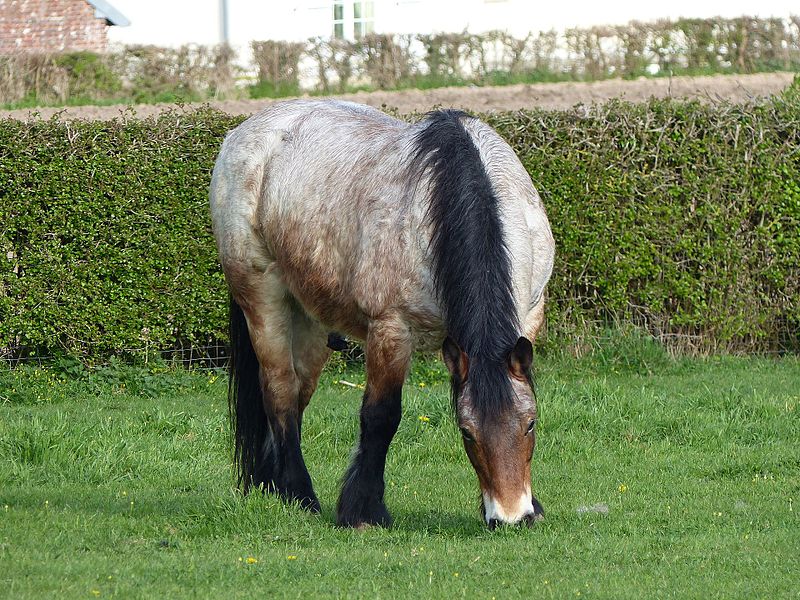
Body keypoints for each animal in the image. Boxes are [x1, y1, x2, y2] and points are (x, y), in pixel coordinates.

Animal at [209, 99, 552, 528]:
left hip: (310, 318)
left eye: (530, 423)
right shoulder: (391, 329)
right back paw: (298, 493)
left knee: (299, 392)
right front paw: (363, 510)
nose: (511, 516)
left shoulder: (530, 316)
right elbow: (381, 416)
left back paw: (271, 484)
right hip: (262, 298)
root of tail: (244, 132)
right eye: (466, 431)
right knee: (280, 390)